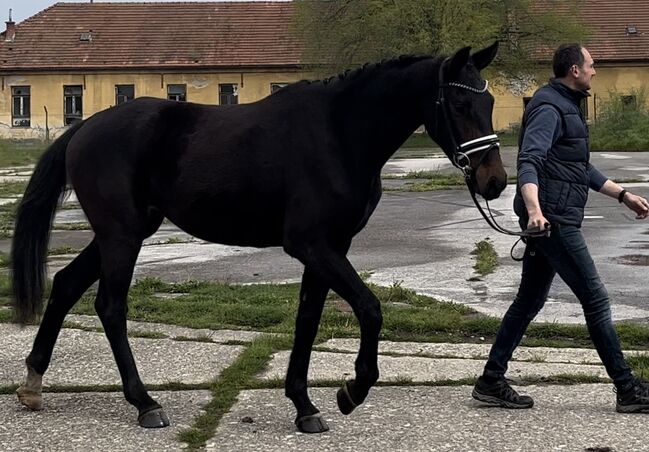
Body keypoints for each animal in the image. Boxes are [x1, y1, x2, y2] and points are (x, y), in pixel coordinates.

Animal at [11, 42, 506, 434]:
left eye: (489, 102)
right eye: (459, 106)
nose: (495, 181)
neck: (339, 133)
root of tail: (85, 126)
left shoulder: (329, 249)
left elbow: (308, 319)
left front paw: (304, 406)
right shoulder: (313, 245)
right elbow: (370, 308)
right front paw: (352, 390)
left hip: (122, 233)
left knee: (66, 285)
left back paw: (34, 383)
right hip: (122, 236)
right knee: (110, 306)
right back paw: (144, 402)